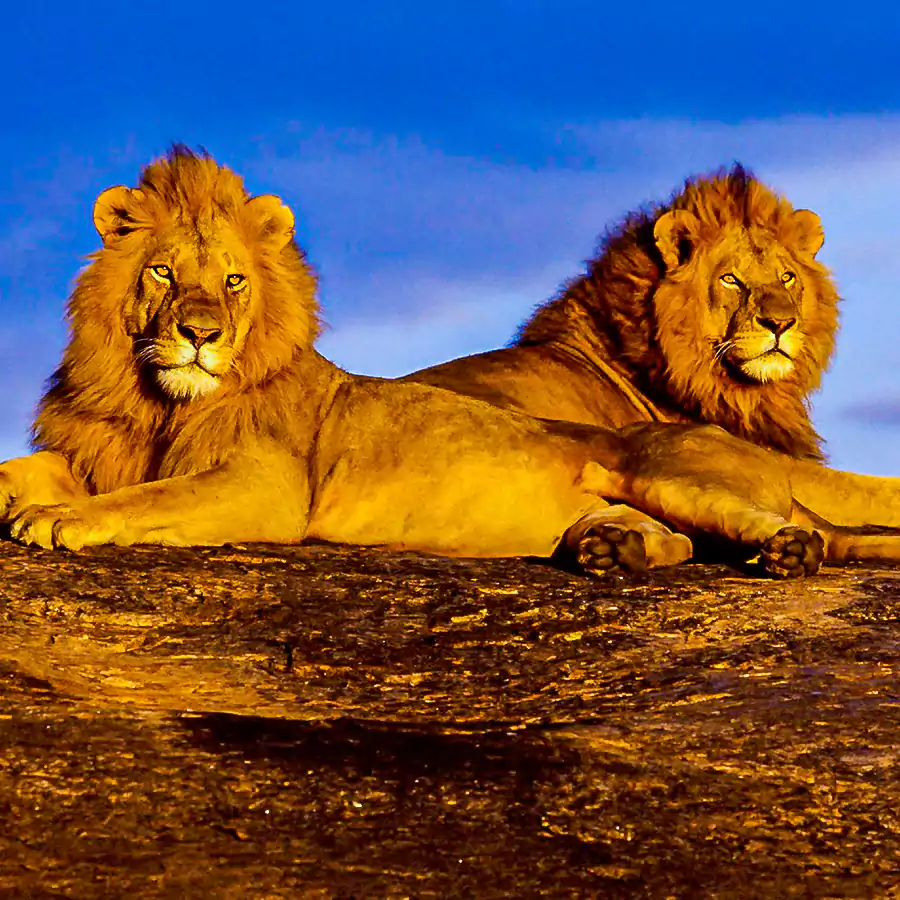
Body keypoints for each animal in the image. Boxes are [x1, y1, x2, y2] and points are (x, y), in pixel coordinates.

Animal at [1, 144, 900, 580]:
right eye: (162, 272)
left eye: (231, 280)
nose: (200, 333)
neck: (156, 398)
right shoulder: (103, 451)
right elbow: (31, 469)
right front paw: (28, 499)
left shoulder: (263, 487)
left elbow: (150, 497)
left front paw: (58, 521)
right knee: (676, 540)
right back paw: (613, 551)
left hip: (670, 472)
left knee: (793, 532)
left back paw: (785, 552)